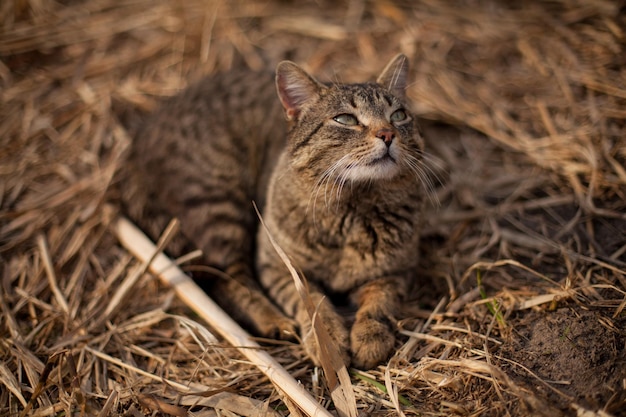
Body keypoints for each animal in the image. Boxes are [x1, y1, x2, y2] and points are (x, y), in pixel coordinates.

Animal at [129, 54, 426, 368]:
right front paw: (328, 342)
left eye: (399, 115)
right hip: (220, 205)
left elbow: (379, 302)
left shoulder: (397, 272)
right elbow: (312, 304)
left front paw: (370, 337)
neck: (353, 208)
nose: (387, 133)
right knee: (229, 279)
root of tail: (142, 134)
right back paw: (274, 321)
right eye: (345, 119)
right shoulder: (278, 266)